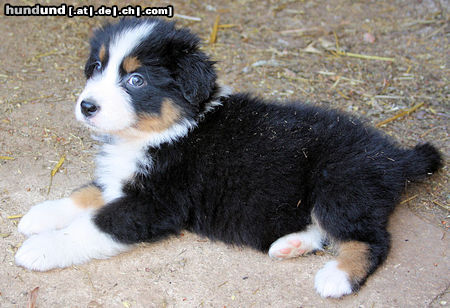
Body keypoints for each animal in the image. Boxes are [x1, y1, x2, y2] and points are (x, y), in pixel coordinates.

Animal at [14, 17, 442, 298]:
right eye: (97, 67)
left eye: (136, 80)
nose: (87, 106)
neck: (167, 130)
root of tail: (394, 156)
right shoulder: (121, 180)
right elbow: (85, 194)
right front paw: (40, 215)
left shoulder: (155, 203)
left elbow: (93, 225)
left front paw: (42, 247)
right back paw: (290, 245)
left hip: (339, 184)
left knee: (372, 239)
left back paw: (337, 277)